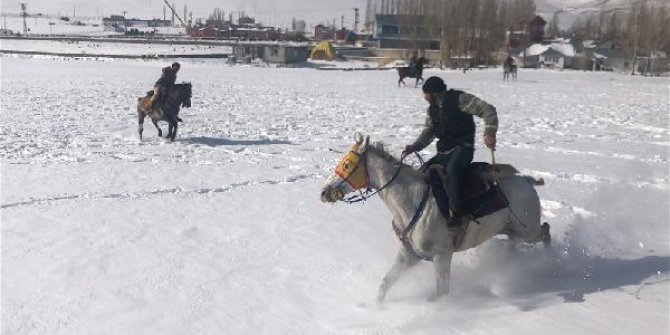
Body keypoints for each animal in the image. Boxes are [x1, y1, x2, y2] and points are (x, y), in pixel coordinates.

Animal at [322, 135, 552, 304]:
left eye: (347, 164)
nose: (325, 192)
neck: (413, 201)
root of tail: (527, 181)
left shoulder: (442, 256)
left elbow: (441, 292)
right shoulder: (409, 254)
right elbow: (386, 282)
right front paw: (371, 306)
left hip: (528, 230)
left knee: (545, 230)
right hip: (511, 229)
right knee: (517, 241)